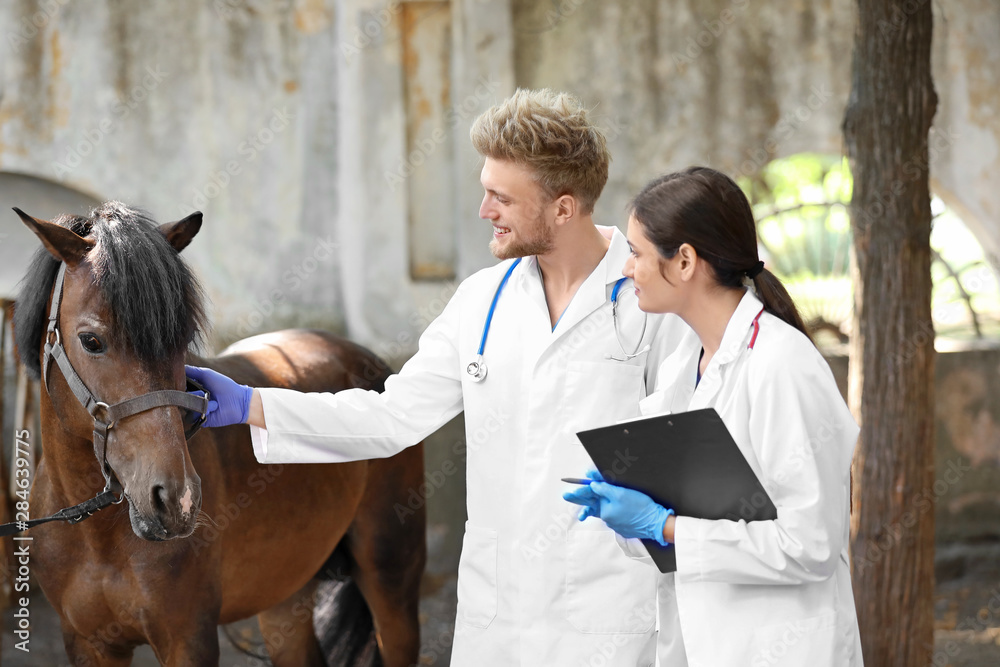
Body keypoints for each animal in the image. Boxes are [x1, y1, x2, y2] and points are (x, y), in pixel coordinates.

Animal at [10, 202, 426, 666]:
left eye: (181, 339)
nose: (176, 500)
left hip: (391, 574)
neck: (95, 537)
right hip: (285, 592)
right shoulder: (87, 643)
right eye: (91, 341)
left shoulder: (188, 639)